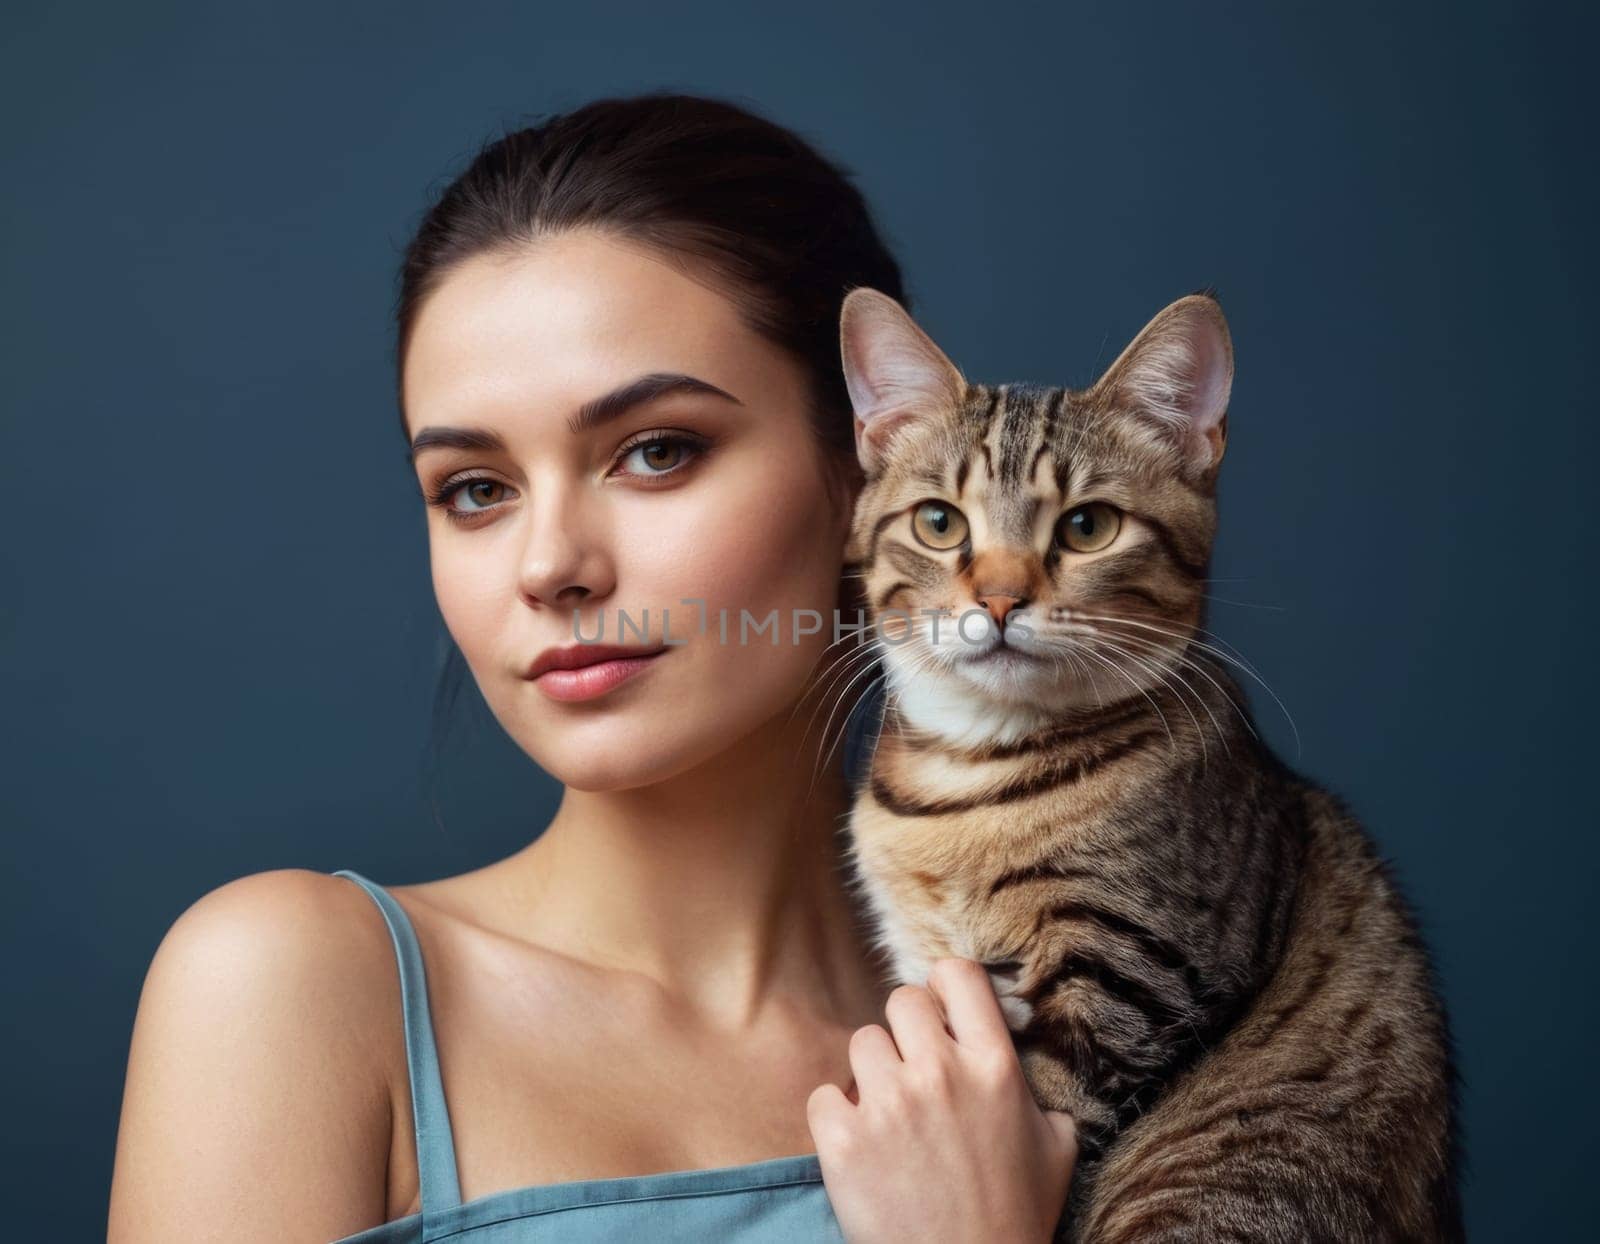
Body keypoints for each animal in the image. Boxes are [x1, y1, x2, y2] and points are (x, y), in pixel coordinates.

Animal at [832, 287, 1465, 1240]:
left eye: (1088, 526)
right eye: (939, 522)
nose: (1001, 599)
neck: (971, 778)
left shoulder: (1131, 981)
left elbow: (1054, 1119)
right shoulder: (925, 955)